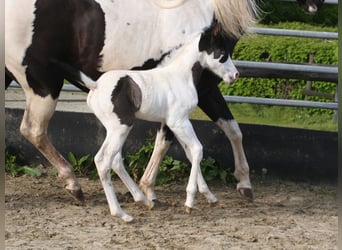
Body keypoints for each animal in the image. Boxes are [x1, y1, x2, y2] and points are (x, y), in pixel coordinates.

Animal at [5, 0, 258, 203]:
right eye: (222, 55)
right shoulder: (196, 95)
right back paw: (74, 185)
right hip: (44, 85)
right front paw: (149, 188)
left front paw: (241, 184)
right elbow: (169, 142)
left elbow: (230, 131)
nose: (235, 75)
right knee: (34, 130)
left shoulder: (202, 93)